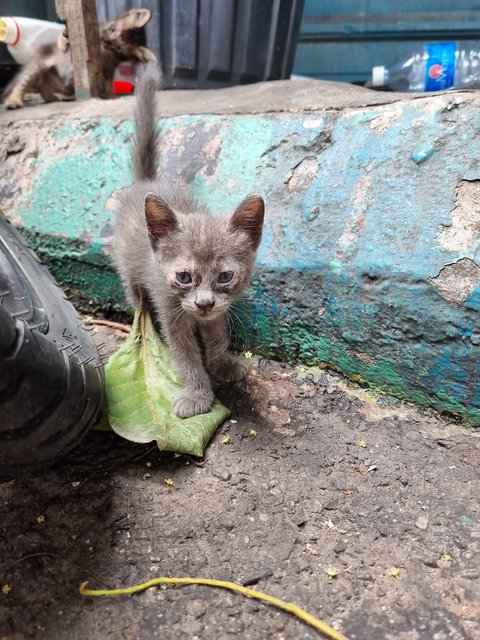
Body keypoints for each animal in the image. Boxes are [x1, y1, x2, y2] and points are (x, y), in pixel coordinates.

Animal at [1, 9, 156, 110]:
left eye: (118, 48)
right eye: (112, 29)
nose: (104, 41)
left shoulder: (108, 68)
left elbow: (107, 82)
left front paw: (111, 96)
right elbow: (65, 32)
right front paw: (62, 40)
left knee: (42, 87)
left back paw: (53, 96)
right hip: (39, 65)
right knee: (24, 83)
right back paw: (13, 100)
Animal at [113, 69, 266, 420]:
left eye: (225, 276)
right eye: (183, 277)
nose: (204, 303)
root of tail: (145, 182)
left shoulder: (219, 310)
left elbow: (217, 335)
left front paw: (223, 363)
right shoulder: (171, 313)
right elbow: (186, 356)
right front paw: (197, 395)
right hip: (130, 274)